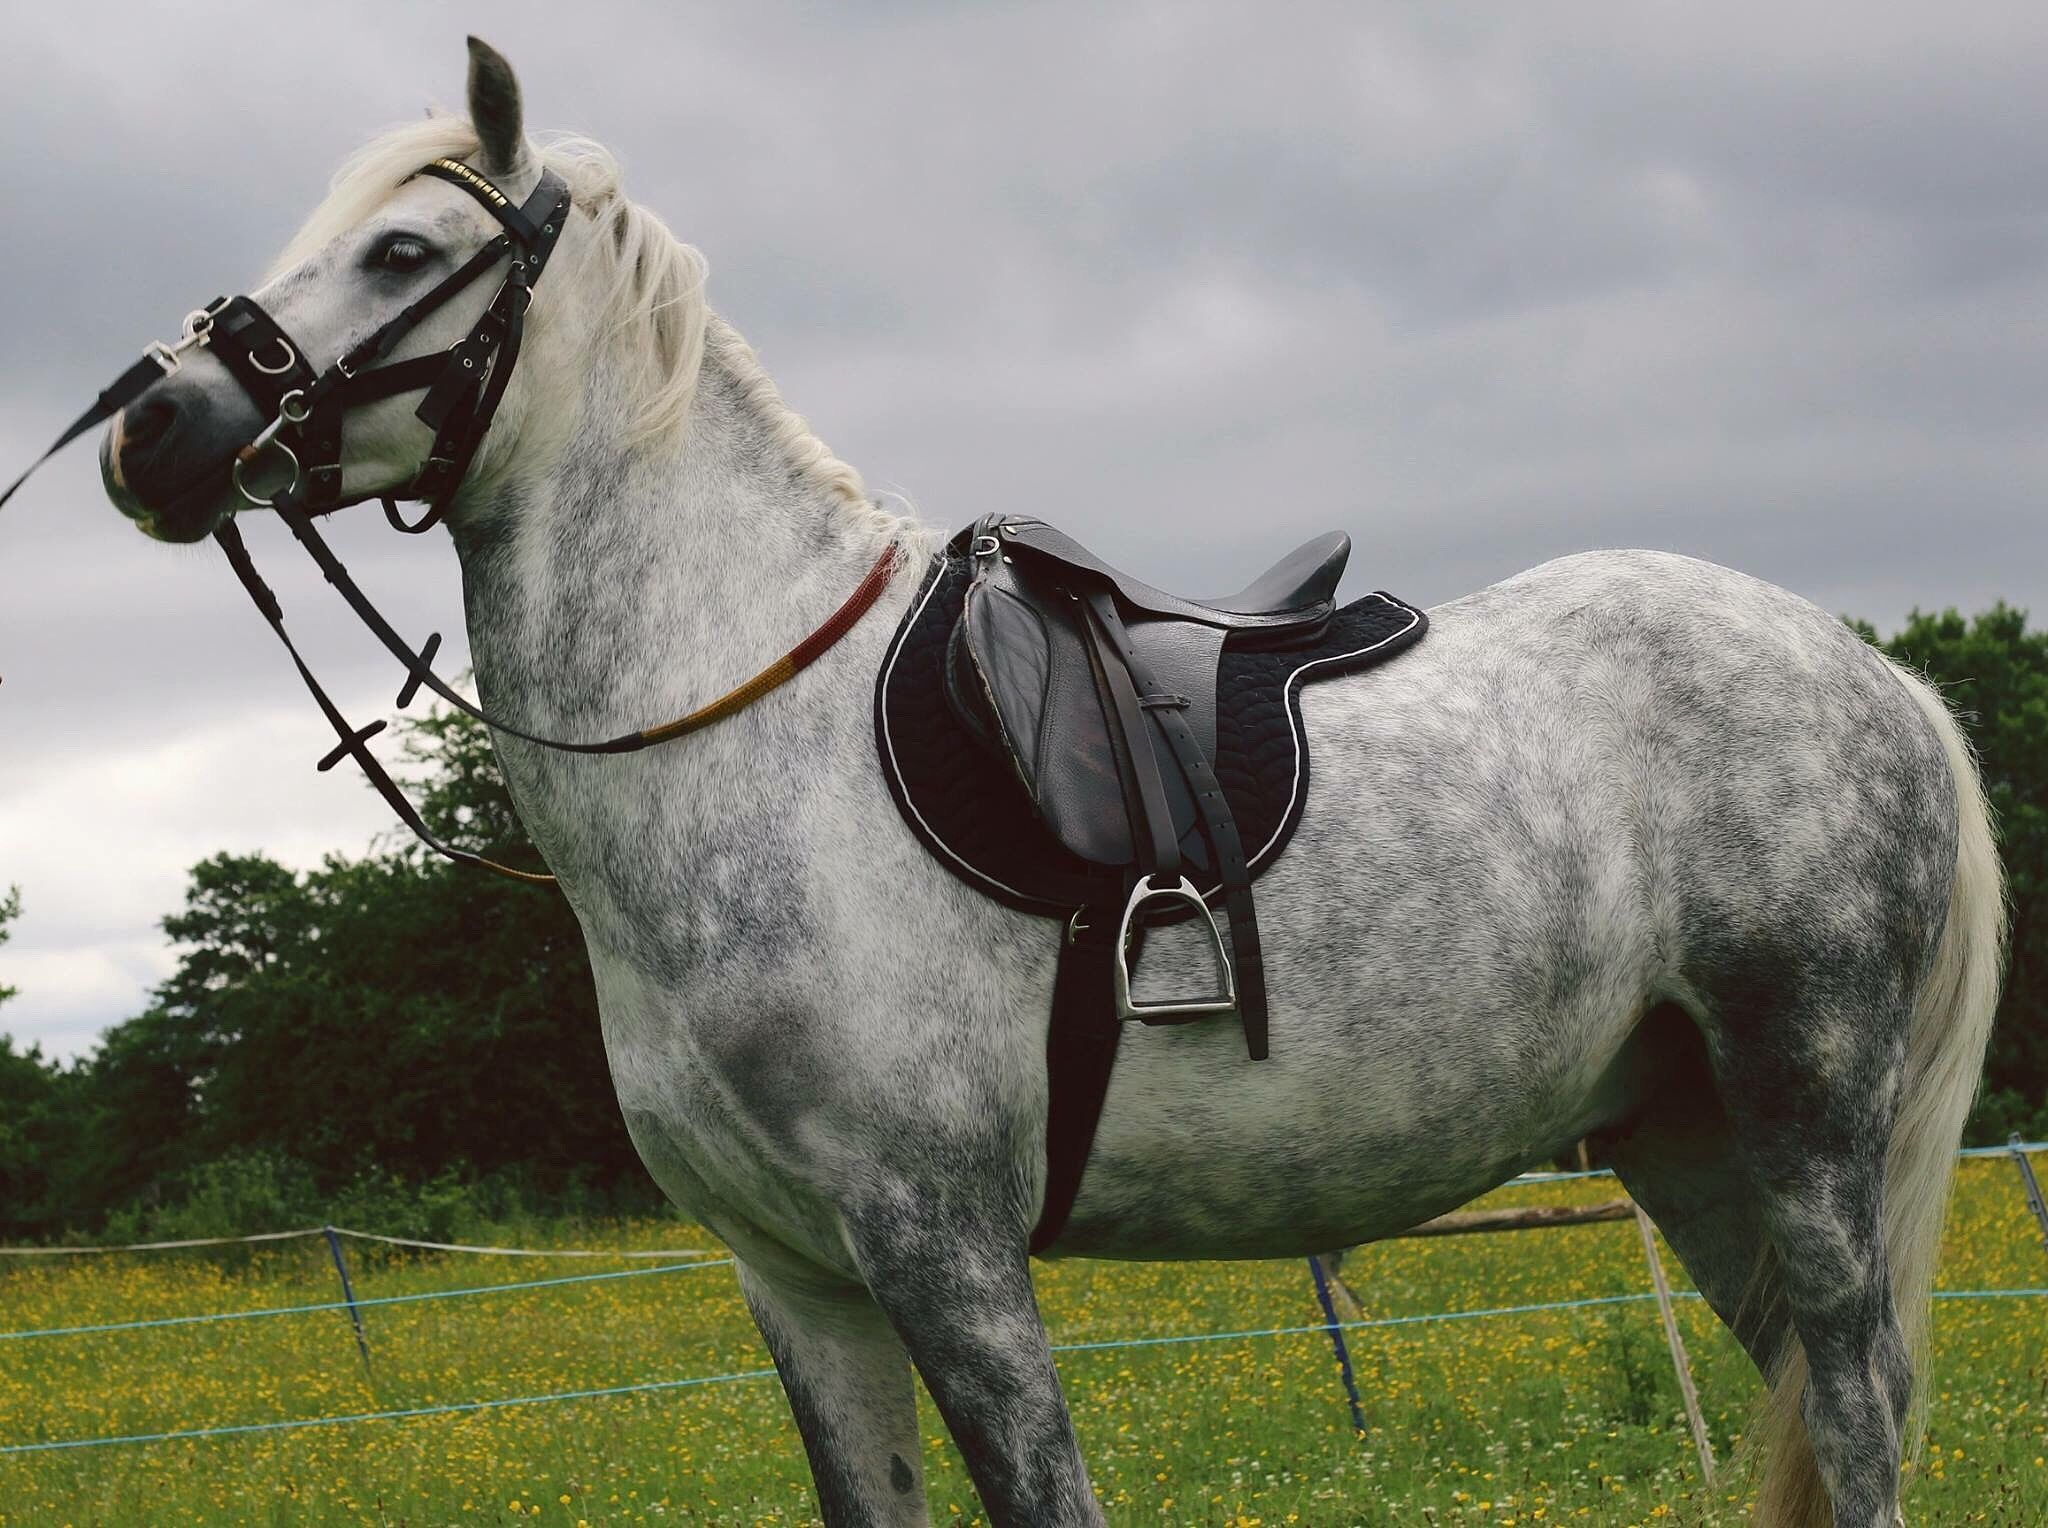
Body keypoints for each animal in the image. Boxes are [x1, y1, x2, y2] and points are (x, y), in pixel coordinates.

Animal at [91, 39, 2002, 1528]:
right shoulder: (800, 1284)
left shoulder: (944, 1253)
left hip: (1805, 1123)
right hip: (1687, 1140)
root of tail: (1874, 672)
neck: (746, 732)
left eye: (402, 245)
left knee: (1856, 1414)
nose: (150, 428)